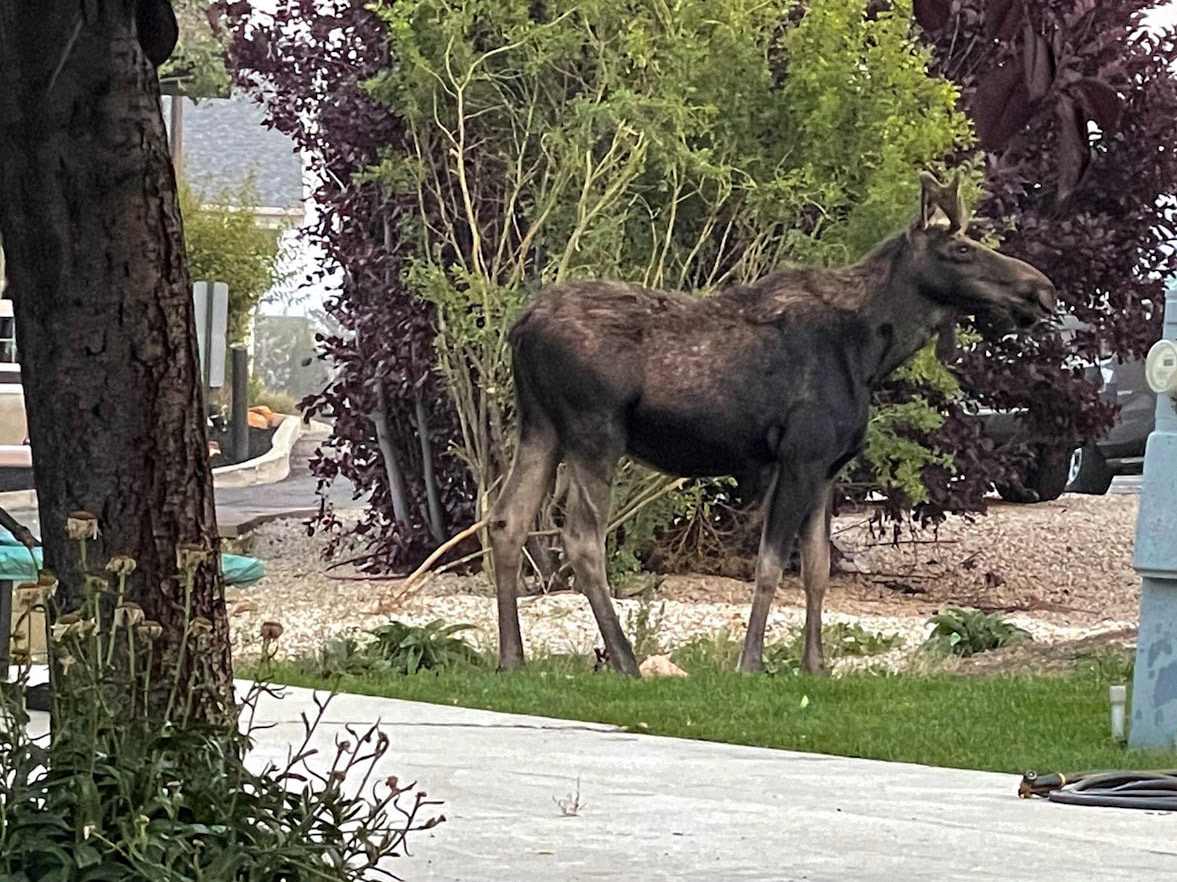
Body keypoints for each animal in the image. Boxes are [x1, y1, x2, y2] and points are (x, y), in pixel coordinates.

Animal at [486, 170, 1056, 676]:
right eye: (961, 250)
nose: (1041, 290)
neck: (872, 353)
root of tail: (519, 327)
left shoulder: (829, 467)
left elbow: (818, 570)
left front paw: (816, 665)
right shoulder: (800, 455)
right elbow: (770, 565)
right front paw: (752, 662)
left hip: (540, 427)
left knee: (506, 521)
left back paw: (512, 658)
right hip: (594, 431)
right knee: (582, 539)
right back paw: (624, 660)